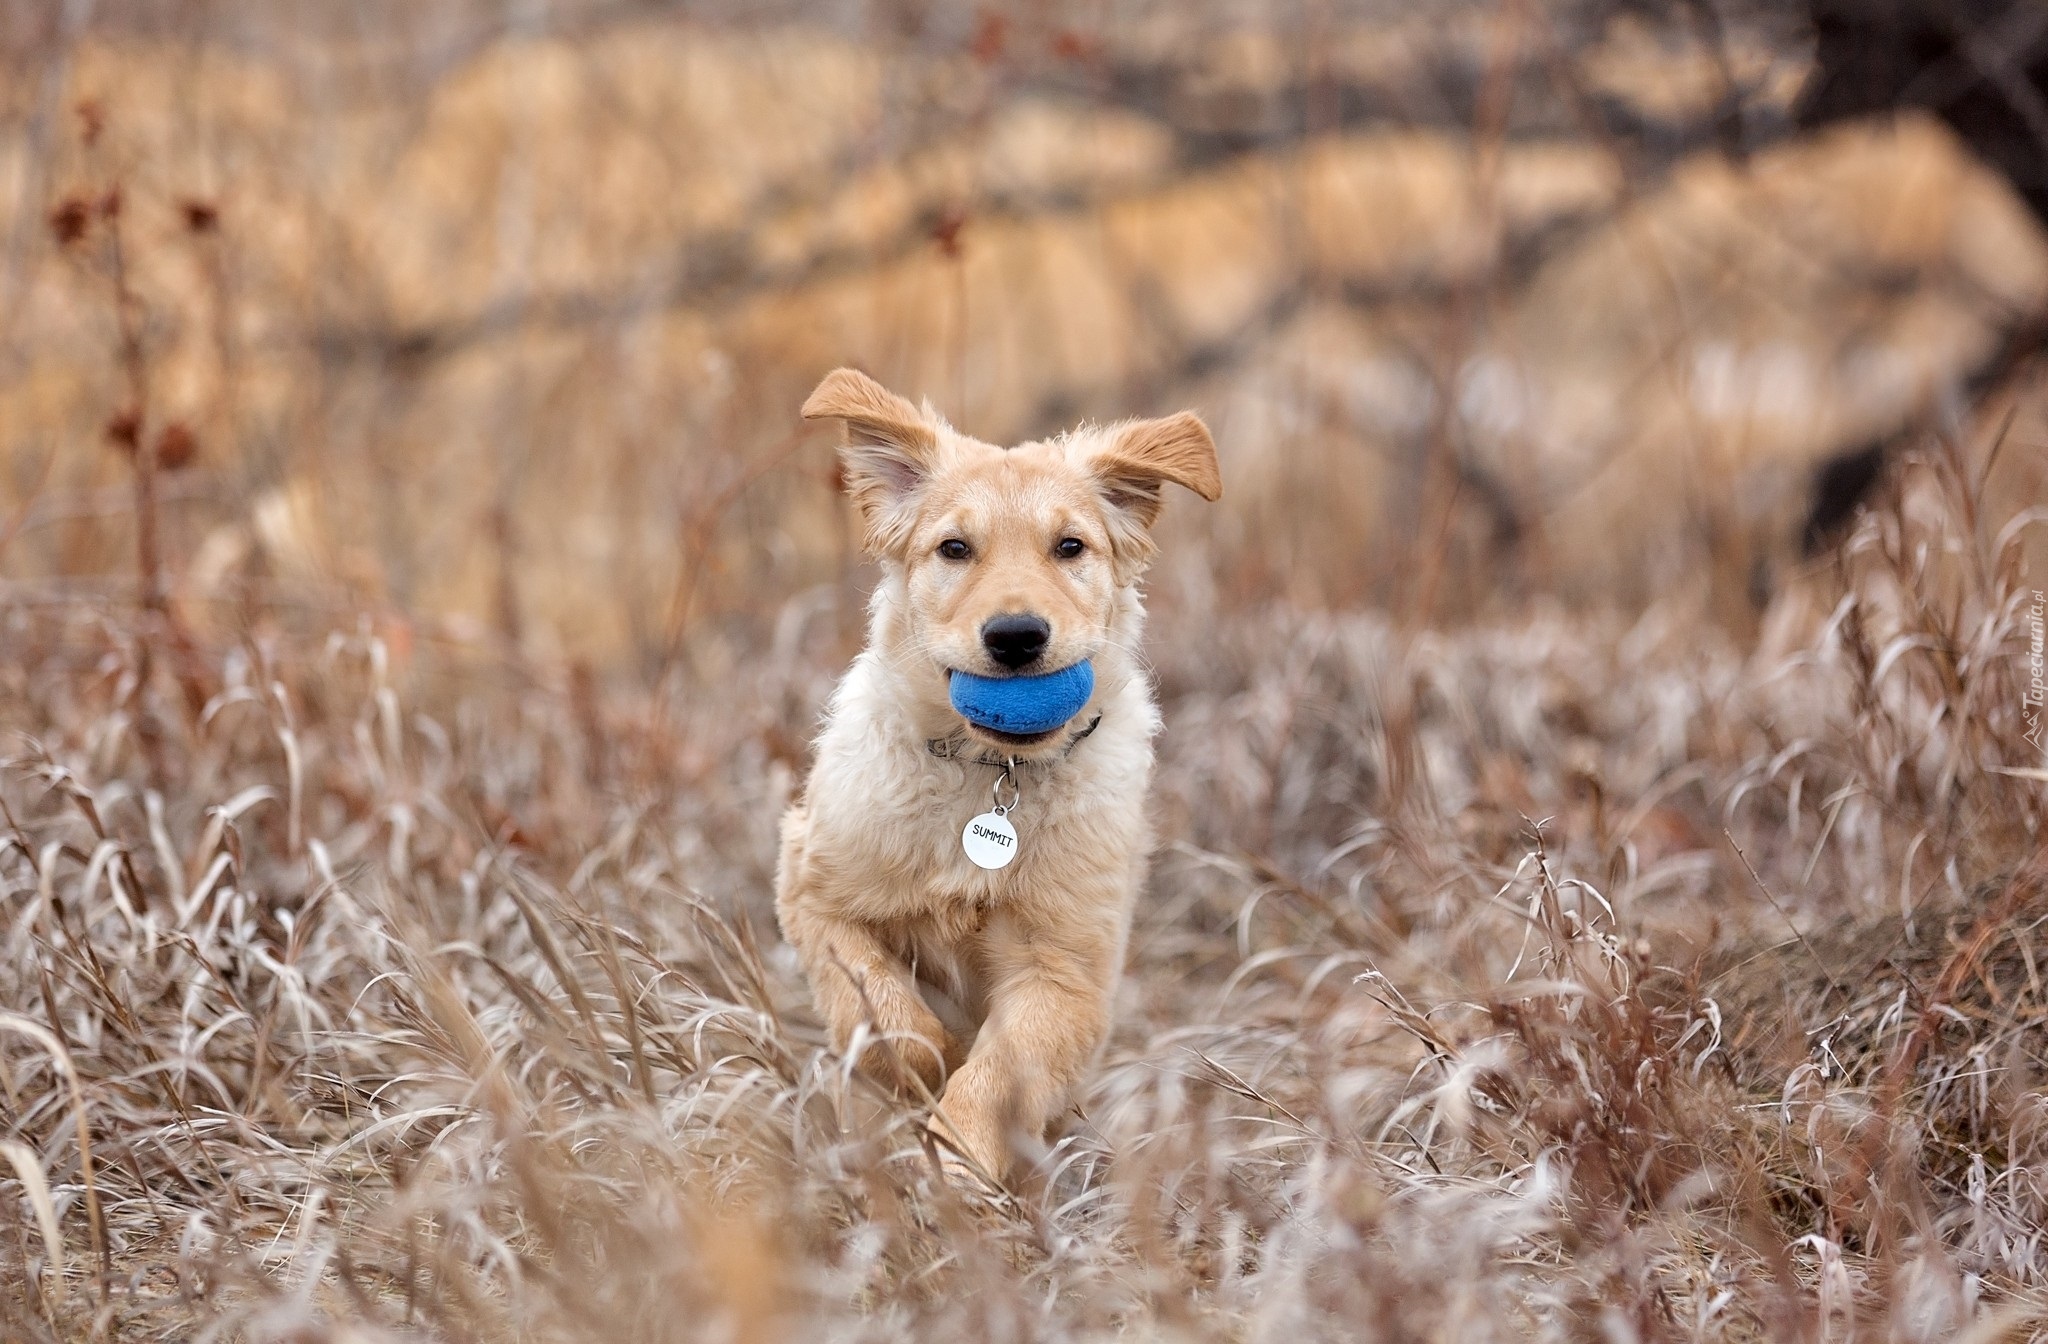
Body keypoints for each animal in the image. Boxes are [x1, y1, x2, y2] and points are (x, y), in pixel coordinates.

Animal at [770, 370, 1212, 1188]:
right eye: (954, 548)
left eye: (1070, 547)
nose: (1015, 636)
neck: (992, 774)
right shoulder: (815, 895)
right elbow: (887, 1015)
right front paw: (929, 1061)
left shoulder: (1064, 972)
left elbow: (996, 1073)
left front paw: (958, 1163)